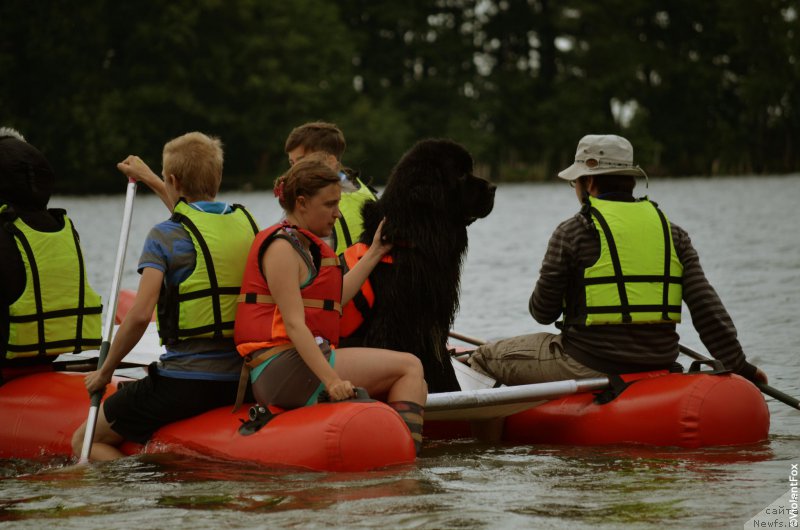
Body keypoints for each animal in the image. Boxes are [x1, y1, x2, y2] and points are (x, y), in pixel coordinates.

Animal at [338, 139, 494, 392]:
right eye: (460, 174)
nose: (493, 188)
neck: (413, 237)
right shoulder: (396, 322)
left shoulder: (431, 323)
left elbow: (439, 365)